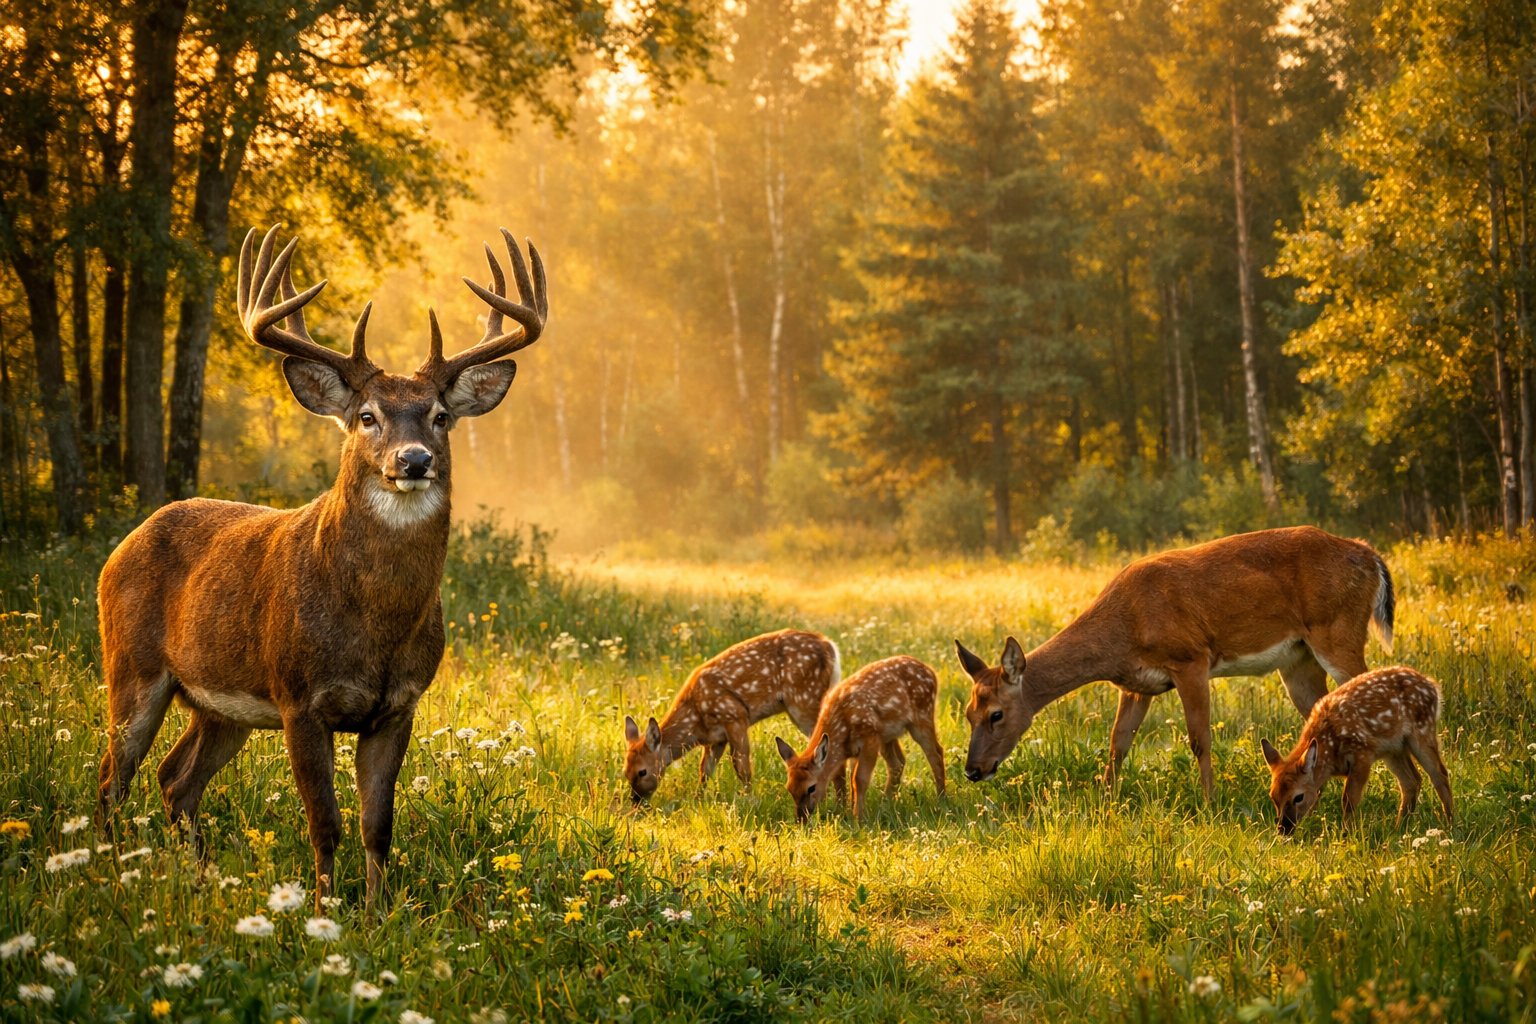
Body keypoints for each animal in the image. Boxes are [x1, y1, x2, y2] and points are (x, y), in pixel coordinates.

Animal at [95, 225, 547, 911]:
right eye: (367, 417)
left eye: (440, 417)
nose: (414, 459)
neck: (374, 624)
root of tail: (123, 545)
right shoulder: (300, 699)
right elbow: (325, 821)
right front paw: (324, 908)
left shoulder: (398, 705)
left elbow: (377, 822)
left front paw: (380, 912)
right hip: (133, 665)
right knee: (112, 780)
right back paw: (105, 873)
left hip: (219, 706)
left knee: (175, 780)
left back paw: (199, 879)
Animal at [623, 629, 840, 803]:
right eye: (625, 772)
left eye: (642, 771)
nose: (636, 801)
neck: (695, 719)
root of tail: (830, 646)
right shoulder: (716, 738)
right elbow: (705, 770)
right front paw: (697, 800)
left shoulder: (735, 716)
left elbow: (742, 767)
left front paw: (750, 800)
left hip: (805, 699)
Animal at [775, 655, 946, 822]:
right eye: (789, 788)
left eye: (811, 787)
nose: (801, 819)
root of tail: (932, 672)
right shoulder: (855, 749)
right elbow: (849, 778)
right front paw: (848, 813)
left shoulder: (869, 738)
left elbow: (859, 779)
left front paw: (859, 818)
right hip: (887, 735)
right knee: (898, 763)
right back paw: (885, 804)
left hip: (922, 716)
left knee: (936, 754)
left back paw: (941, 800)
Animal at [956, 526, 1395, 799]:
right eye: (967, 713)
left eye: (996, 714)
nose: (973, 770)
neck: (1125, 627)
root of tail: (1371, 555)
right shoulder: (1136, 684)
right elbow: (1117, 743)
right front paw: (1104, 800)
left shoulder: (1191, 658)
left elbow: (1199, 738)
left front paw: (1210, 802)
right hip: (1298, 659)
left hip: (1339, 631)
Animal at [1262, 665, 1452, 834]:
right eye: (1273, 796)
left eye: (1298, 797)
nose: (1283, 829)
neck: (1330, 748)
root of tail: (1432, 685)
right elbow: (1320, 794)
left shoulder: (1362, 754)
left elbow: (1348, 800)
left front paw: (1346, 834)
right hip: (1394, 749)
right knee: (1412, 781)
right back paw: (1399, 829)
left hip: (1422, 731)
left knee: (1440, 774)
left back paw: (1449, 825)